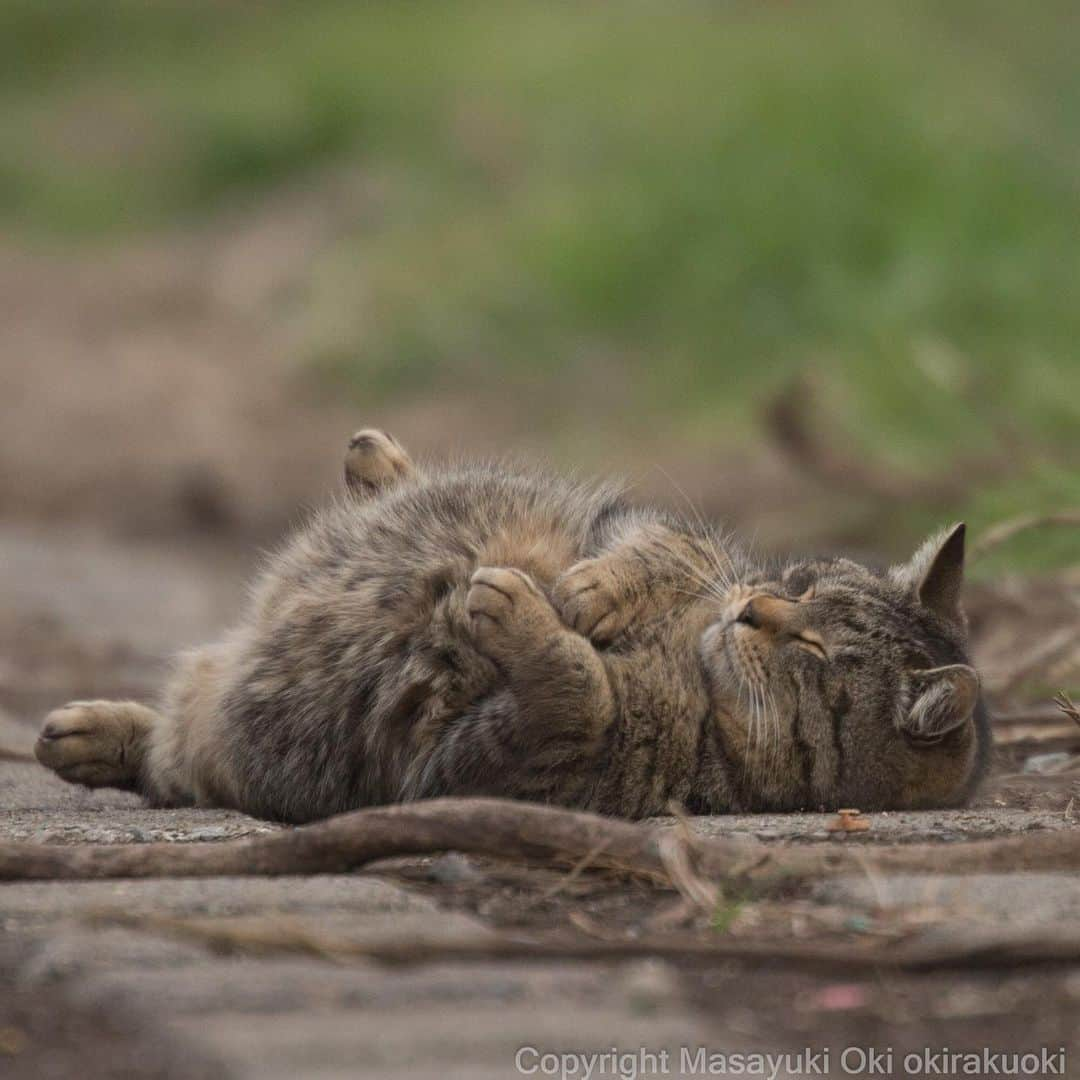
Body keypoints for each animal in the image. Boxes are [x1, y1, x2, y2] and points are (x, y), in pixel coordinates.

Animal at [38, 429, 989, 816]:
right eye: (796, 582)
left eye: (816, 651)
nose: (753, 607)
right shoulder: (681, 540)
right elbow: (660, 546)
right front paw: (594, 589)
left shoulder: (479, 768)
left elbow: (582, 693)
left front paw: (526, 616)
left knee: (178, 753)